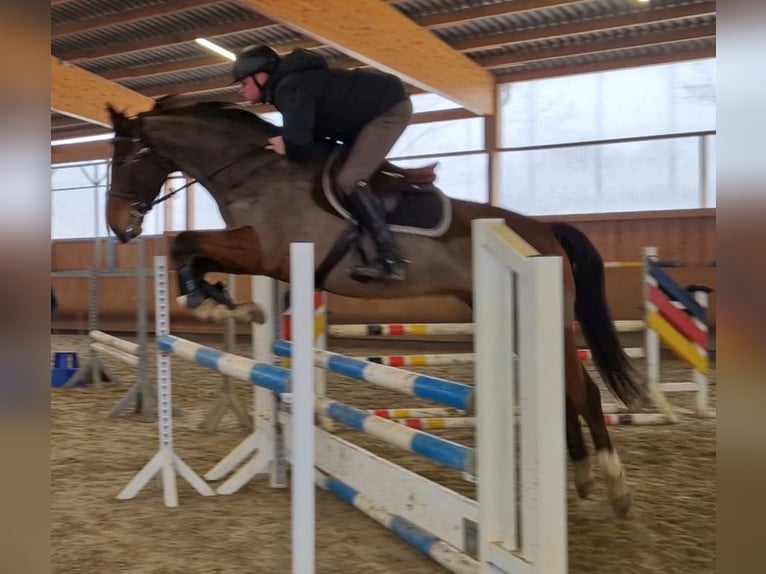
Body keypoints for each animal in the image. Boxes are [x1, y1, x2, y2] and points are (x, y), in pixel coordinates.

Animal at [104, 98, 646, 517]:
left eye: (126, 162)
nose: (119, 228)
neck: (255, 172)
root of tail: (546, 230)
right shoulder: (256, 252)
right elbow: (188, 248)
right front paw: (218, 302)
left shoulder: (269, 251)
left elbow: (184, 239)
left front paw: (215, 303)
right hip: (512, 314)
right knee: (564, 388)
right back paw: (581, 476)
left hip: (544, 318)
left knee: (583, 390)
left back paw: (616, 484)